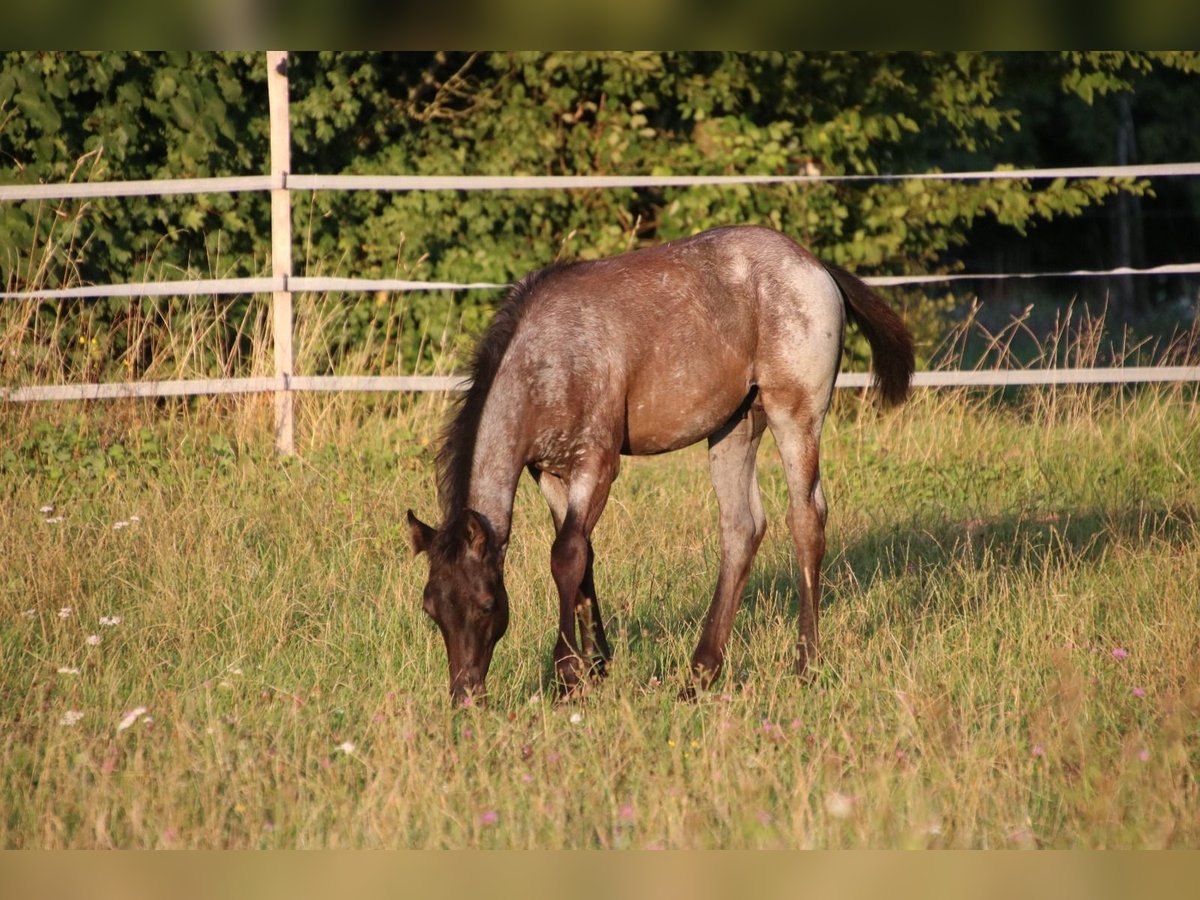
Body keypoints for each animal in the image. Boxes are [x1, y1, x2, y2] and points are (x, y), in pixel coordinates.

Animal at [407, 225, 914, 704]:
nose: (466, 695)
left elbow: (566, 555)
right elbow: (582, 552)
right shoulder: (548, 473)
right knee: (742, 528)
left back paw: (806, 665)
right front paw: (597, 665)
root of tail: (815, 266)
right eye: (432, 608)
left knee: (806, 519)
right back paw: (699, 676)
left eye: (487, 604)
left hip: (795, 413)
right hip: (735, 426)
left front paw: (569, 675)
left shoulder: (597, 463)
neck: (547, 362)